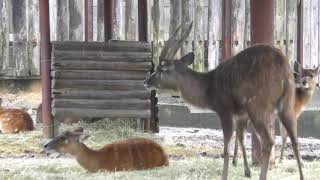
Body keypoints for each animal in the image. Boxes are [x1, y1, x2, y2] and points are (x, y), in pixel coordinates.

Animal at [144, 21, 304, 179]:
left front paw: (226, 175)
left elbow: (226, 146)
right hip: (287, 105)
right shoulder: (241, 114)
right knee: (295, 139)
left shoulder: (224, 110)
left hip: (258, 107)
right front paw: (247, 172)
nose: (146, 81)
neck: (210, 89)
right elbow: (241, 137)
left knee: (269, 141)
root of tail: (283, 69)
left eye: (161, 70)